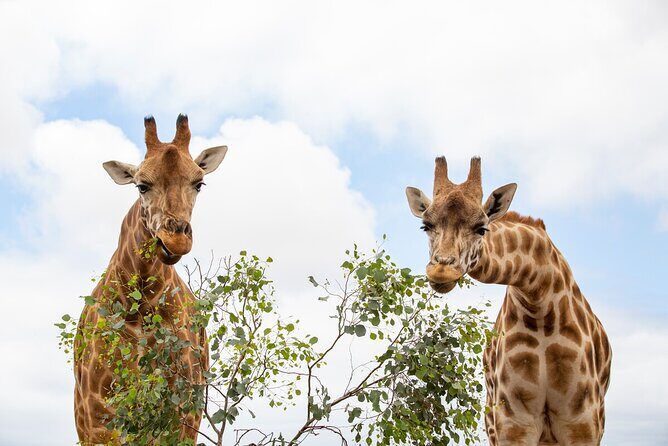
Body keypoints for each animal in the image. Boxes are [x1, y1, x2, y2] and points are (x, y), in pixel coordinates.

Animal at [73, 114, 228, 444]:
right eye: (141, 186)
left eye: (199, 183)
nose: (175, 240)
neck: (141, 305)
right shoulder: (97, 417)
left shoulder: (180, 415)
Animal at [405, 157, 612, 446]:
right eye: (426, 226)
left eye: (481, 228)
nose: (441, 271)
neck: (539, 301)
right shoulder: (513, 423)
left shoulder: (583, 423)